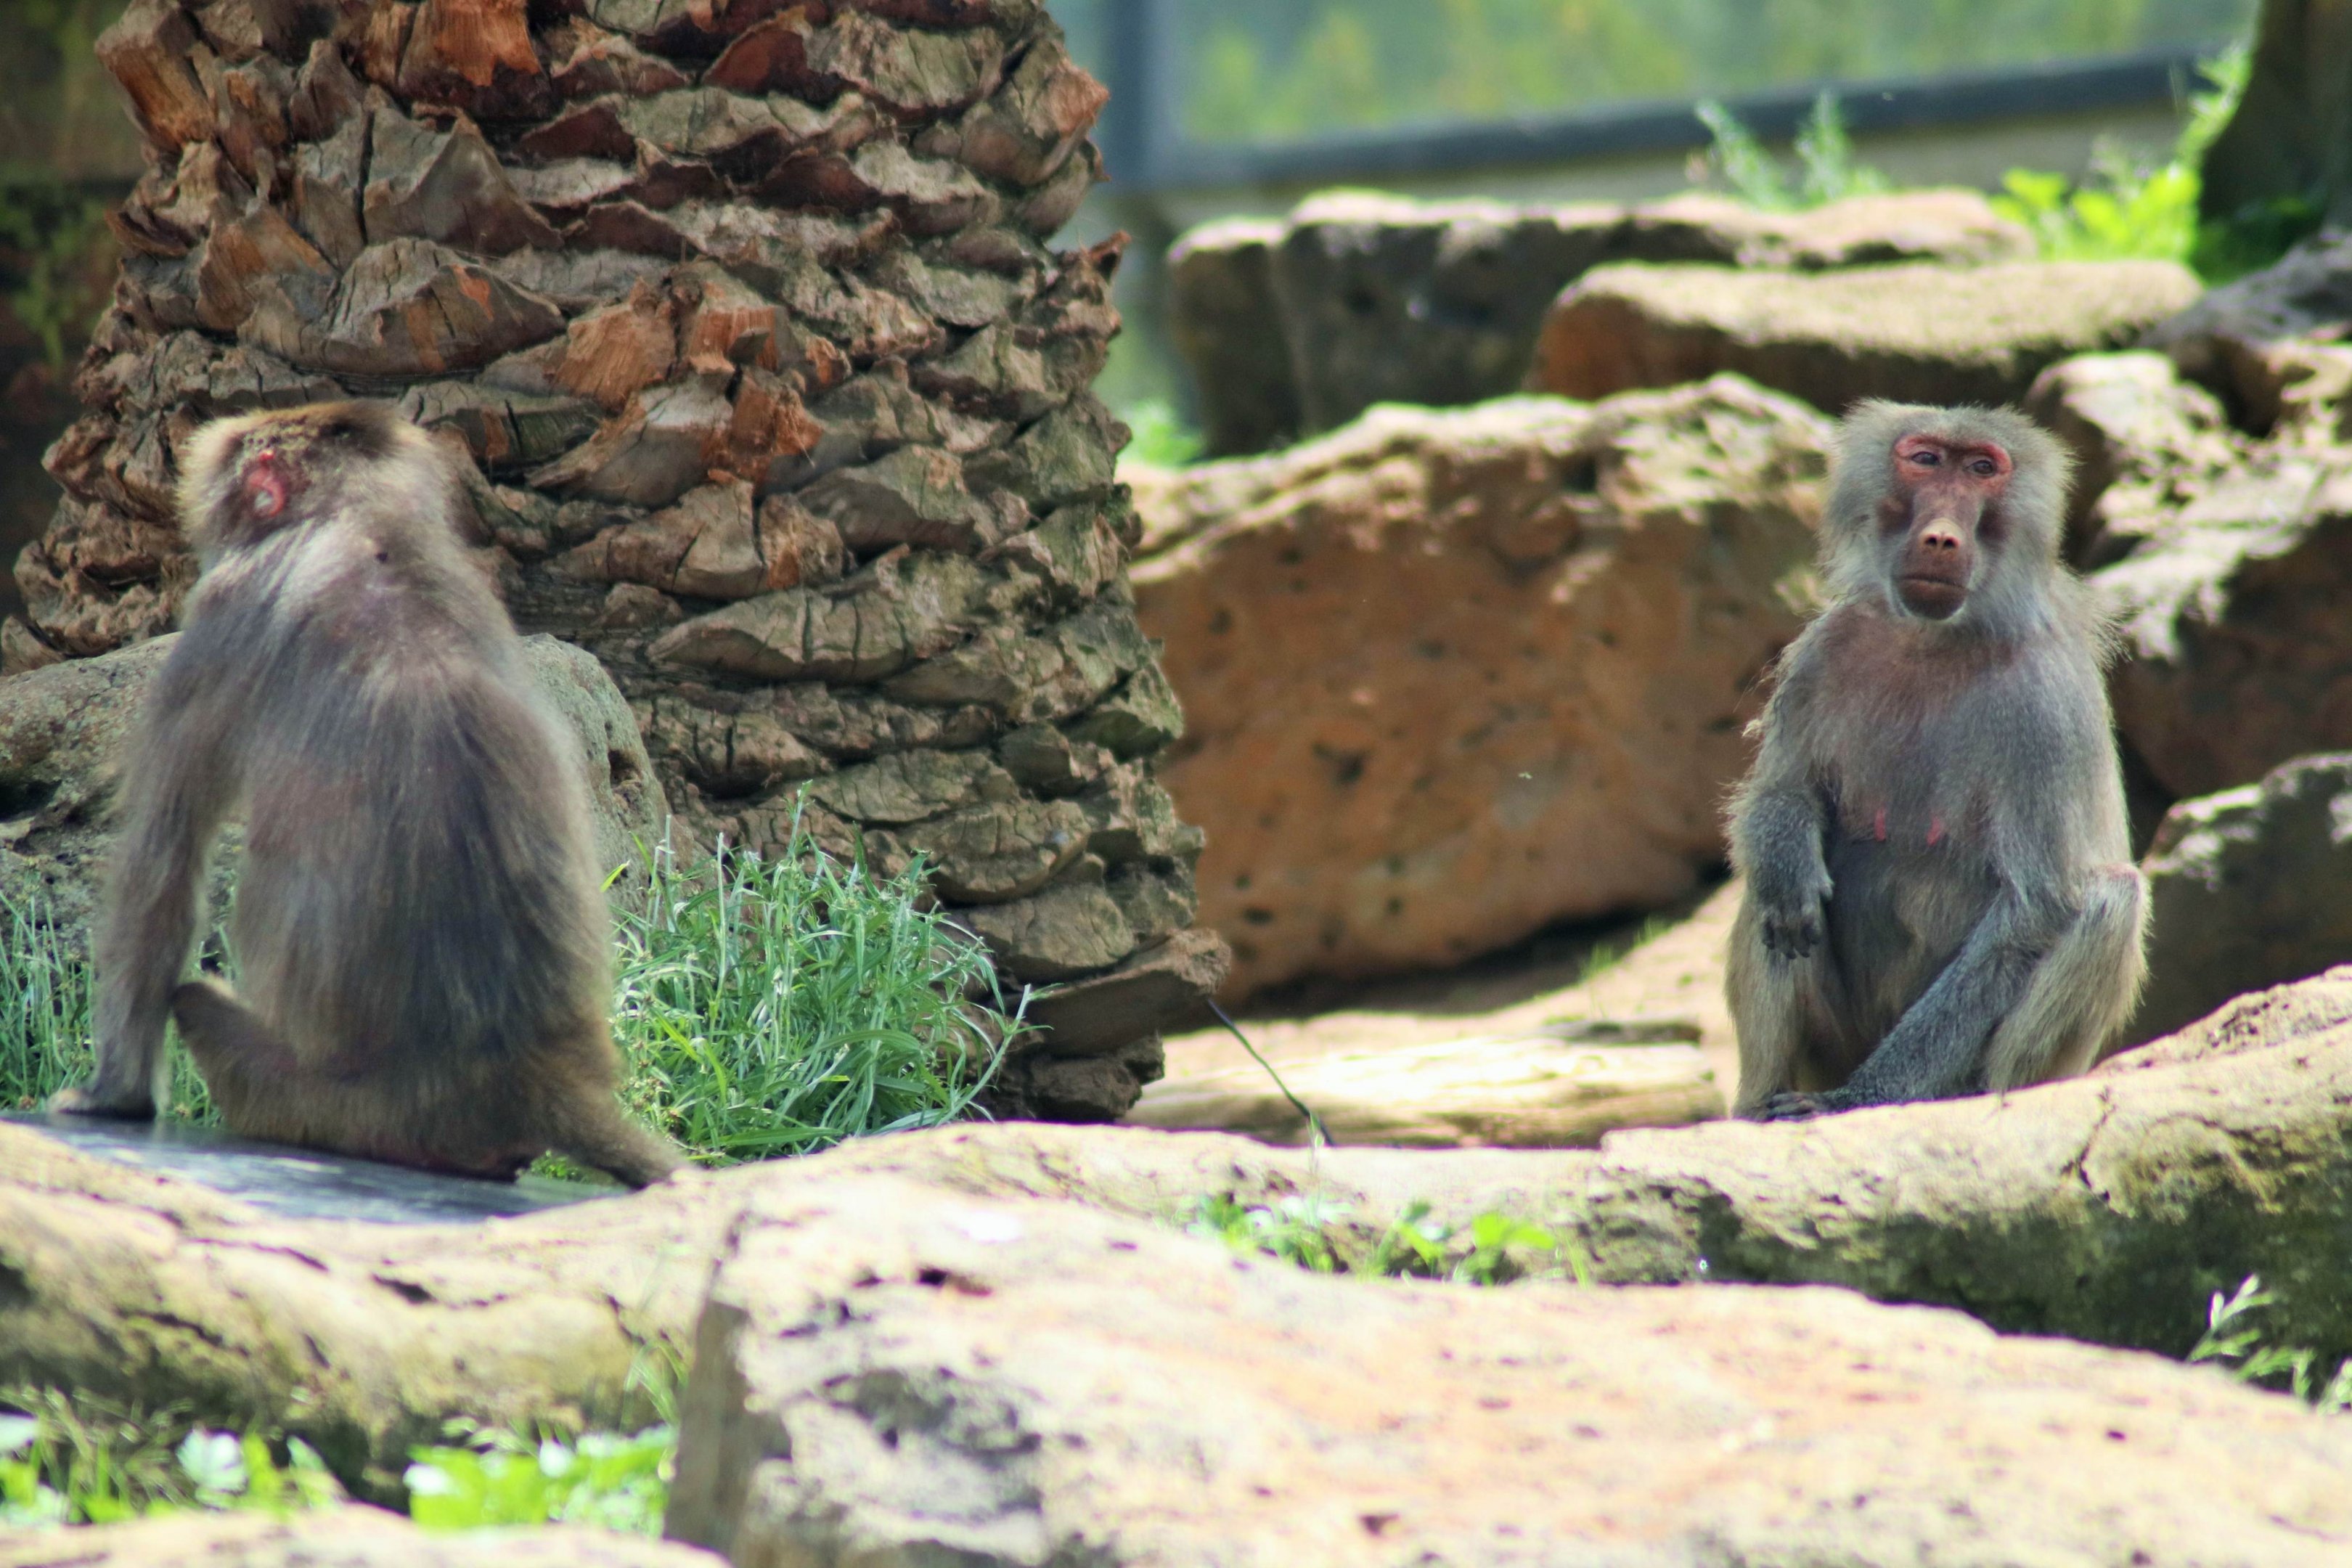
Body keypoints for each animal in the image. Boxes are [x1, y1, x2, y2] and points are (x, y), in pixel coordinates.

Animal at [49, 402, 682, 1188]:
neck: (363, 520)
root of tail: (529, 1078)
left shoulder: (226, 608)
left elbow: (162, 864)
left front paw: (114, 1097)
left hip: (324, 1104)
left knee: (198, 1000)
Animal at [1724, 400, 2147, 1120]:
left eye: (1981, 468)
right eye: (1925, 460)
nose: (1942, 539)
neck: (1935, 638)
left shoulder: (2043, 701)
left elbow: (2037, 910)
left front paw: (1857, 1101)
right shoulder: (1827, 648)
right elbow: (1783, 795)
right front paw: (1787, 851)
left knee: (2109, 897)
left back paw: (1978, 1098)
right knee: (1770, 896)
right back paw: (1755, 1105)